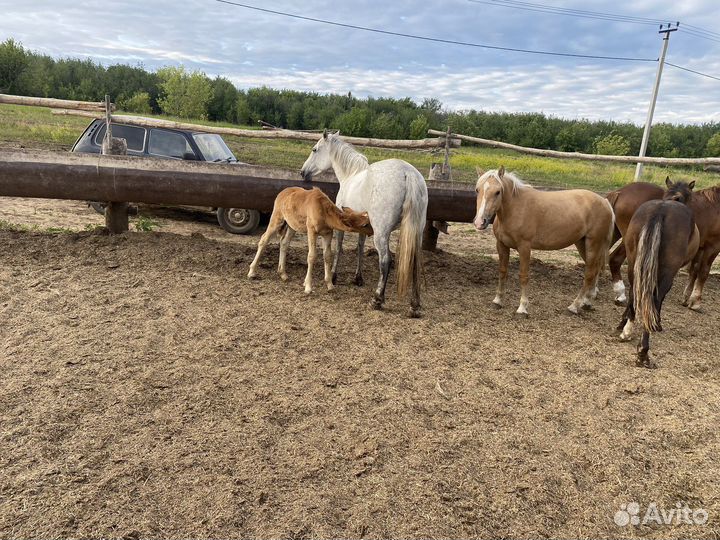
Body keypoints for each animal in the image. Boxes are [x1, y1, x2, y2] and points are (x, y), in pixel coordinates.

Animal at [300, 130, 428, 318]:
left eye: (314, 149)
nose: (303, 172)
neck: (350, 176)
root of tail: (408, 173)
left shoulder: (341, 225)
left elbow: (339, 247)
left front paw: (334, 276)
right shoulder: (362, 227)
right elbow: (360, 248)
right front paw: (358, 278)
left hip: (382, 234)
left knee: (385, 261)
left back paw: (377, 299)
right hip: (415, 232)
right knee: (414, 264)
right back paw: (414, 306)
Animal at [473, 167, 614, 316]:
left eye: (497, 192)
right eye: (477, 190)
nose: (480, 222)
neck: (515, 208)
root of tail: (605, 202)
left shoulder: (524, 247)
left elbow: (524, 275)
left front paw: (522, 308)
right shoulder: (501, 245)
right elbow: (502, 272)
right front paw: (497, 301)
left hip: (593, 244)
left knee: (589, 274)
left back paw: (574, 306)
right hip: (582, 244)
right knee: (594, 271)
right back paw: (586, 302)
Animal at [617, 186, 700, 368]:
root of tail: (660, 210)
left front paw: (623, 323)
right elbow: (658, 302)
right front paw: (658, 324)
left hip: (634, 263)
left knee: (634, 293)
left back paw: (627, 331)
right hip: (666, 272)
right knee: (652, 300)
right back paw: (643, 352)